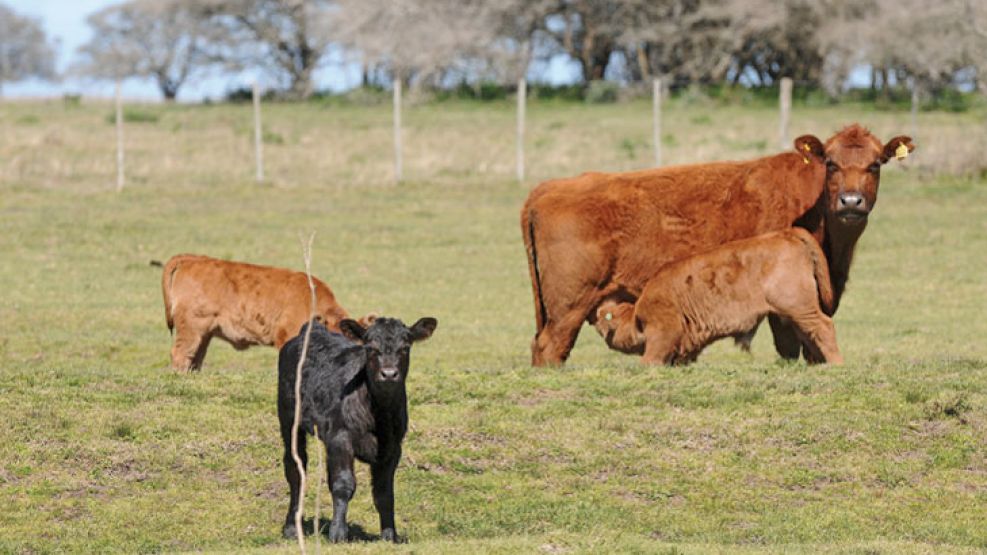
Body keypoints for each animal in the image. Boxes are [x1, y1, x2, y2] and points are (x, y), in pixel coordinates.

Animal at [274, 318, 436, 544]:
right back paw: (291, 528)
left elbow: (384, 494)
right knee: (295, 468)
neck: (379, 414)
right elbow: (343, 485)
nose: (388, 374)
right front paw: (338, 534)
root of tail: (313, 329)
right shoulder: (341, 438)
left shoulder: (393, 448)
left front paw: (390, 535)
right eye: (370, 348)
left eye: (405, 347)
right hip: (289, 418)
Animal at [592, 228, 844, 368]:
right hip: (794, 313)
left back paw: (836, 363)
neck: (636, 313)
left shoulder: (664, 328)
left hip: (799, 307)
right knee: (809, 334)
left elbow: (653, 354)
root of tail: (786, 234)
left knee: (823, 326)